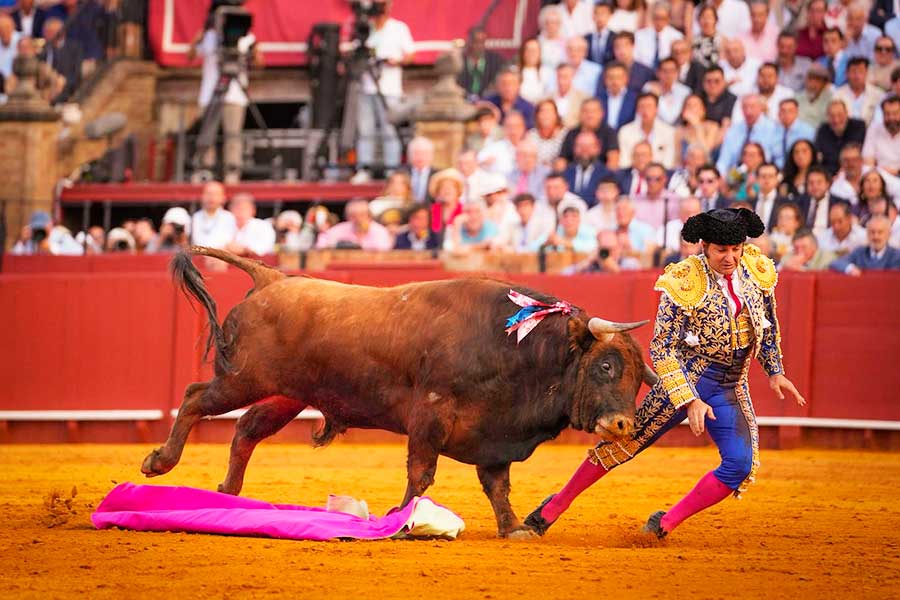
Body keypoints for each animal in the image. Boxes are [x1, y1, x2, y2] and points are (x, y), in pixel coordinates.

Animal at [141, 246, 657, 537]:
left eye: (637, 379)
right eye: (606, 365)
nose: (623, 424)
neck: (516, 346)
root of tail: (274, 279)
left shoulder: (495, 435)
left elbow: (497, 485)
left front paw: (513, 529)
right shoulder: (430, 415)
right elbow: (422, 473)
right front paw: (404, 522)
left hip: (286, 395)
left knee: (246, 429)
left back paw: (227, 495)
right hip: (241, 379)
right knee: (194, 397)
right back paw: (160, 462)